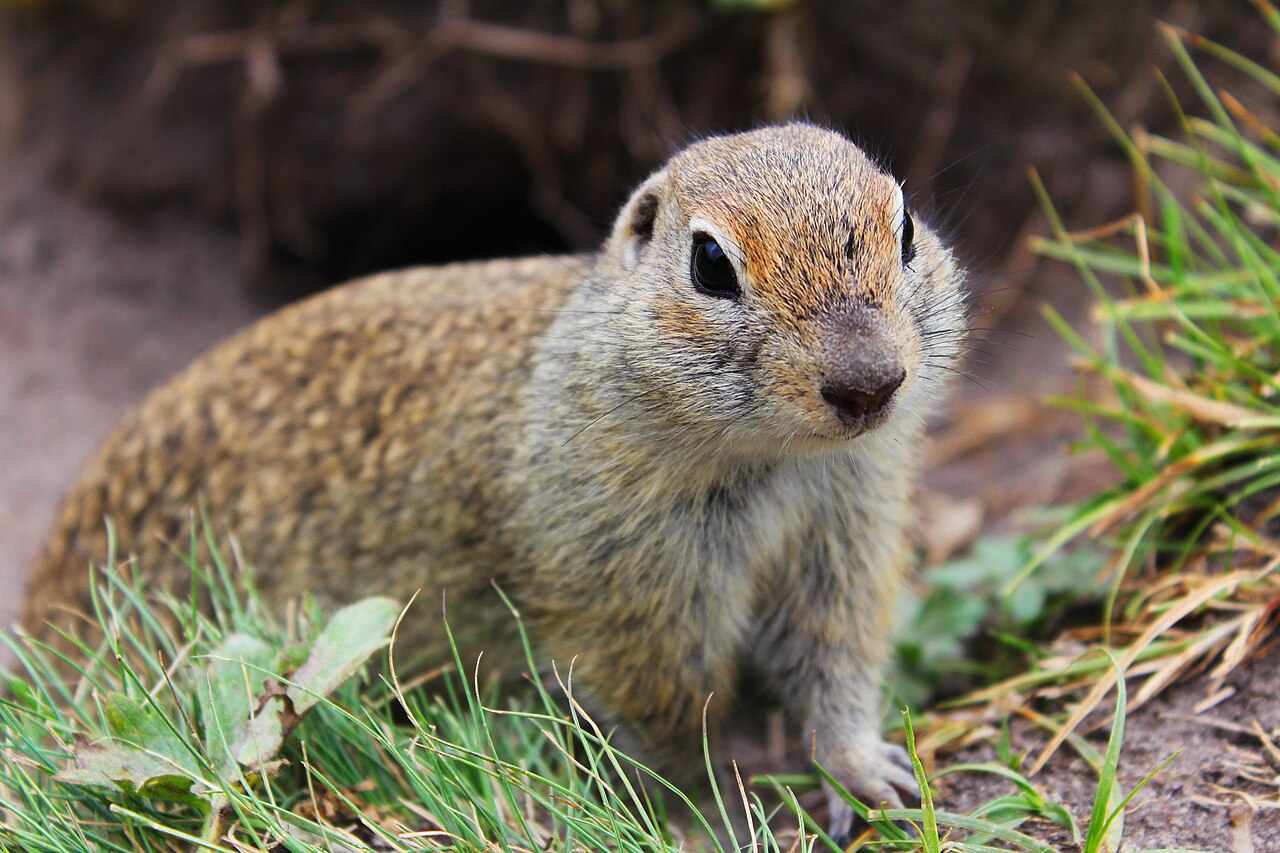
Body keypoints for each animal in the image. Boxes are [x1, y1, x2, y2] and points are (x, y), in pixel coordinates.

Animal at [26, 123, 966, 840]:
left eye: (907, 226)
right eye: (708, 262)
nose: (870, 382)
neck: (773, 458)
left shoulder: (844, 541)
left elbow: (837, 663)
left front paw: (867, 772)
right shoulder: (626, 598)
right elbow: (670, 721)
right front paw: (713, 805)